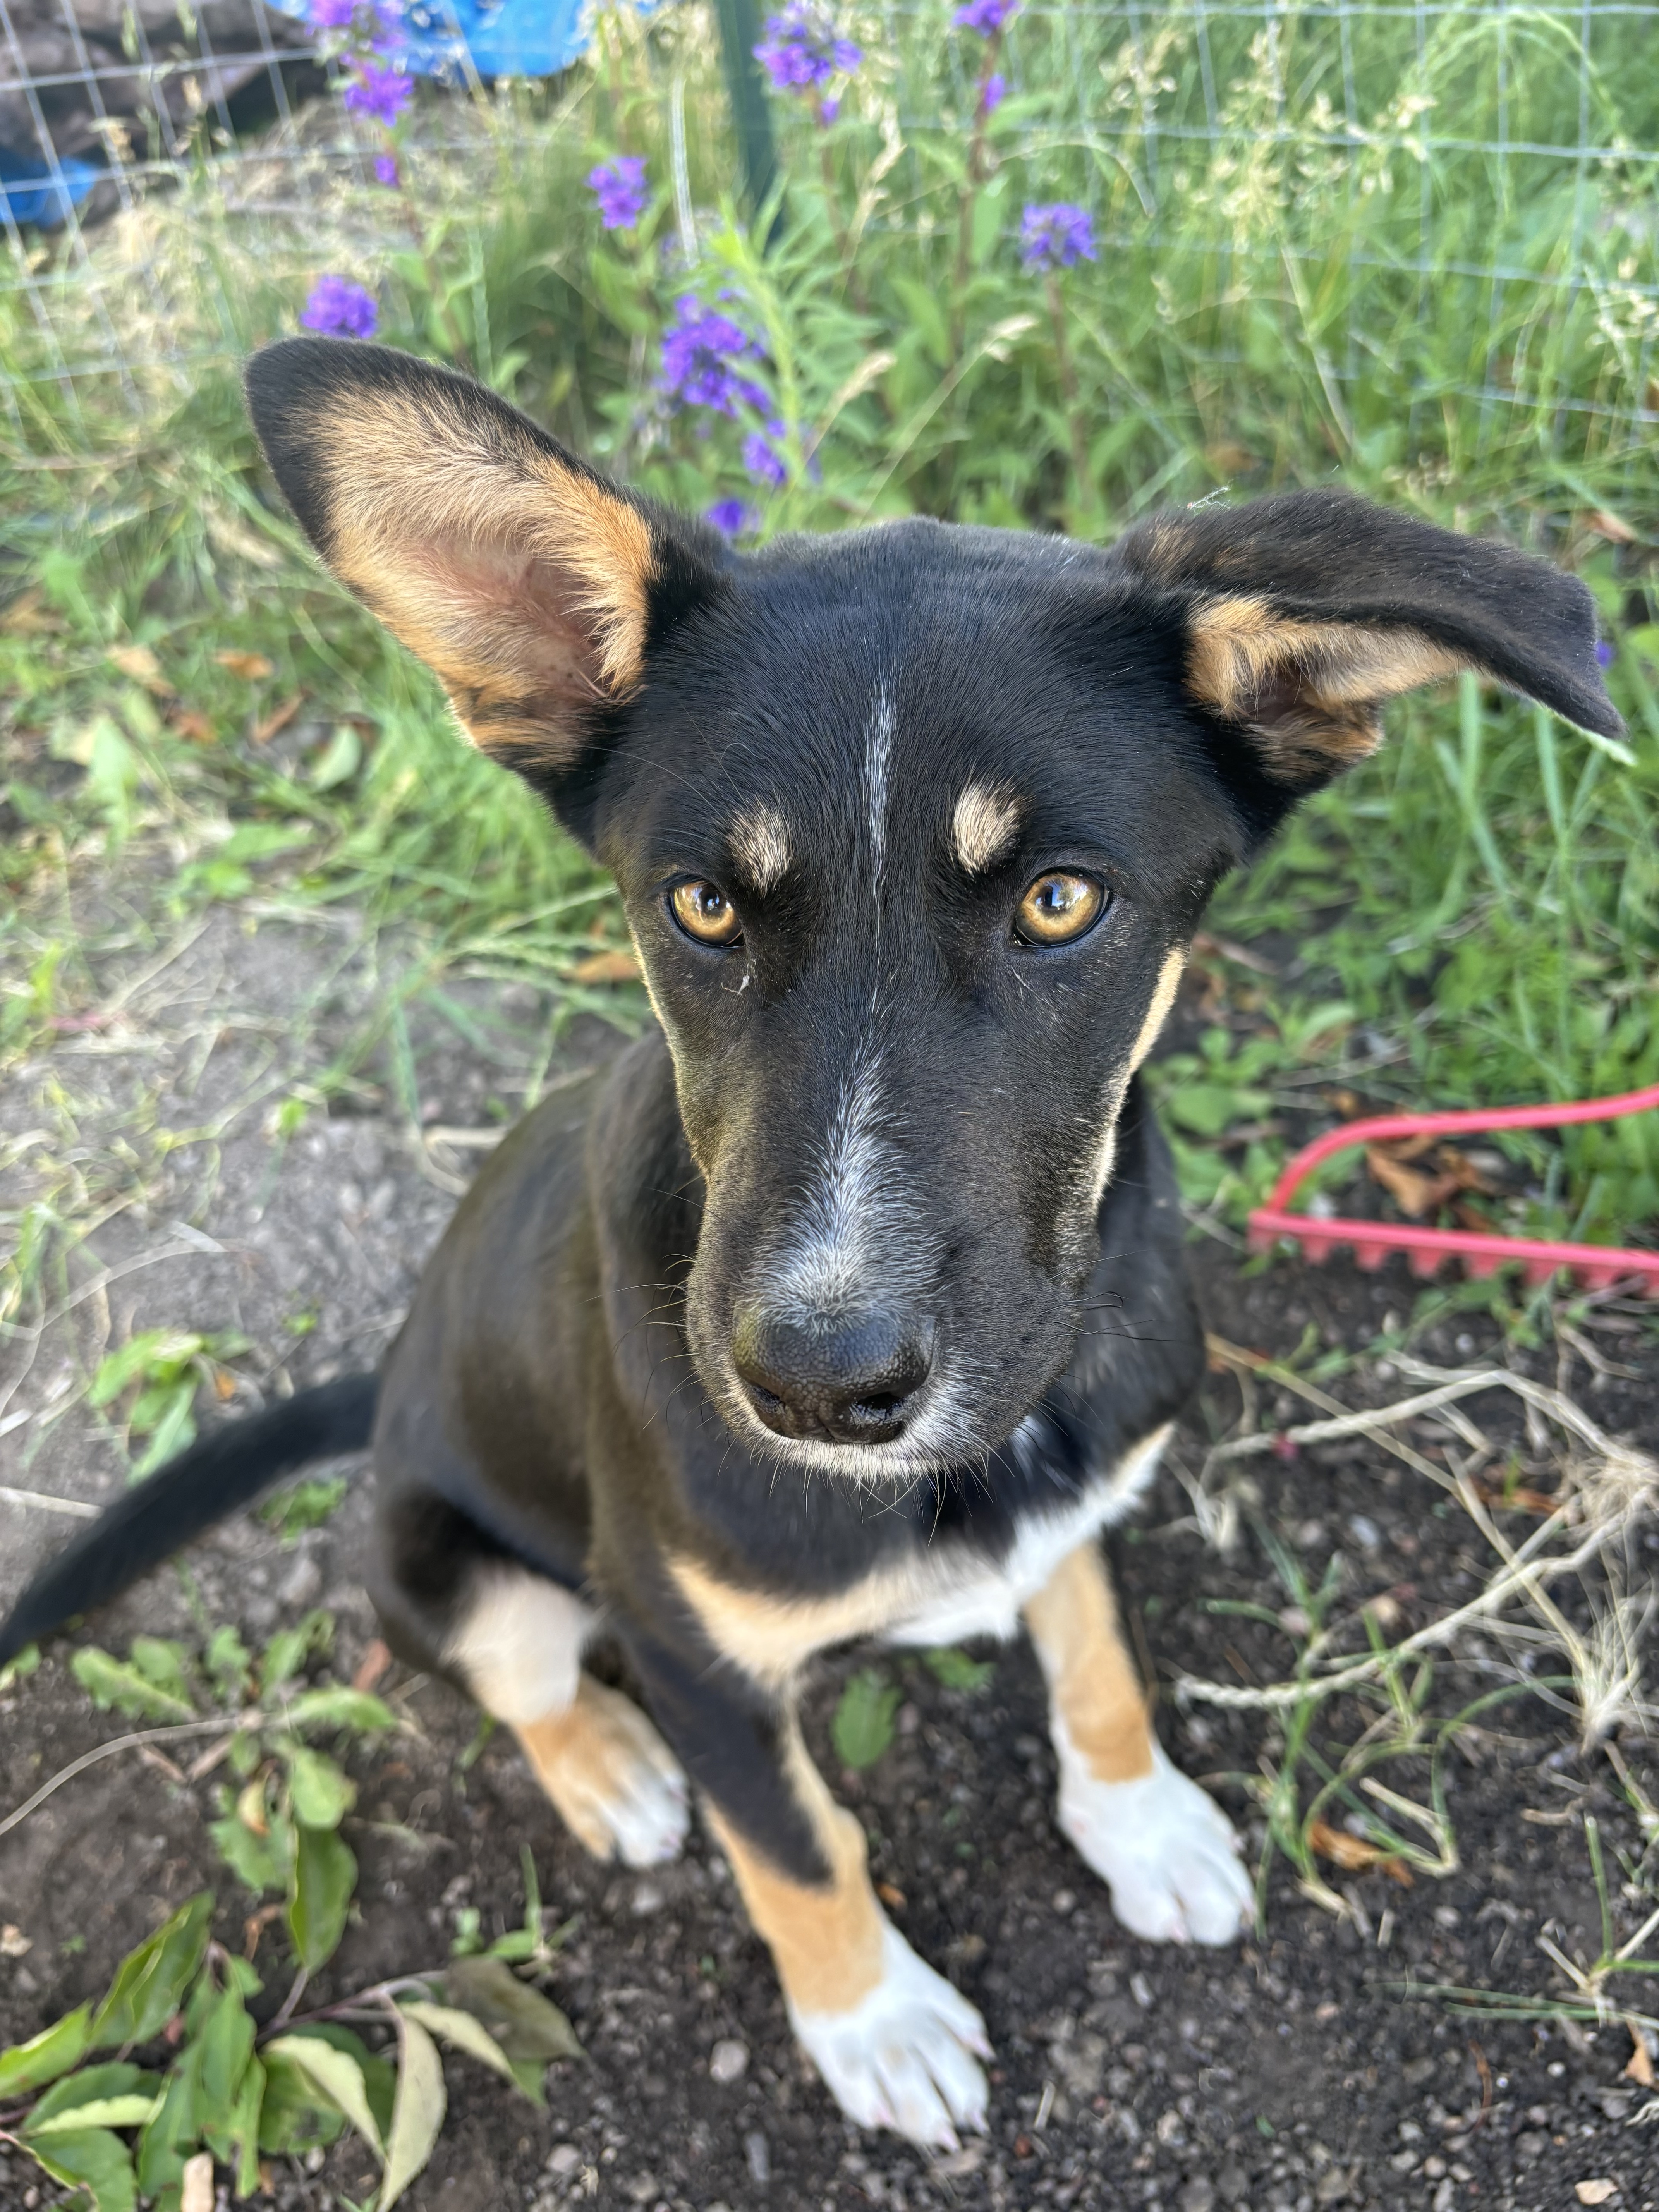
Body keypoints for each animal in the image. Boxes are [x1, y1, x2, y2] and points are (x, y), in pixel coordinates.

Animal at [3, 340, 1628, 2141]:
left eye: (1061, 901)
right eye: (702, 907)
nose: (815, 1385)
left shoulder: (1075, 1492)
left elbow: (1096, 1652)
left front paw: (1137, 1817)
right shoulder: (693, 1651)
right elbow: (792, 1844)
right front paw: (876, 2022)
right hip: (450, 1563)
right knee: (519, 1680)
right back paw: (613, 1772)